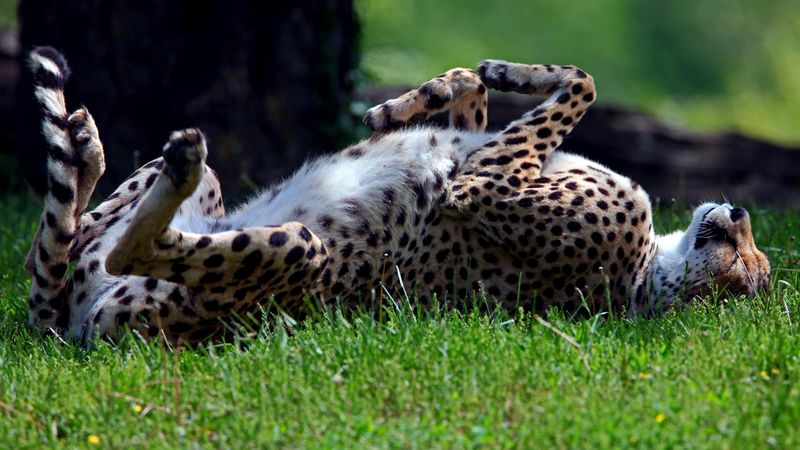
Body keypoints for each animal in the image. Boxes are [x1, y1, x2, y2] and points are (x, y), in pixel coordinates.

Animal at [23, 47, 770, 345]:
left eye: (746, 273)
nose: (738, 212)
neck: (644, 271)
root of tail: (70, 326)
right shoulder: (480, 153)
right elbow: (482, 93)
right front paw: (413, 101)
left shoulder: (482, 184)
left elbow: (582, 84)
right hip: (196, 206)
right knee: (62, 239)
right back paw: (87, 144)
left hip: (300, 255)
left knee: (120, 248)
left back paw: (170, 163)